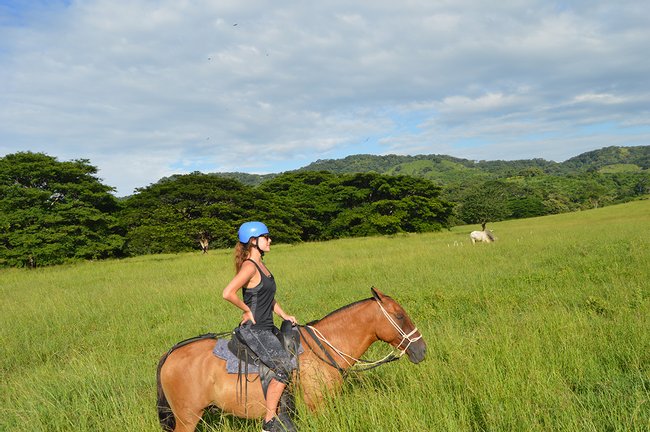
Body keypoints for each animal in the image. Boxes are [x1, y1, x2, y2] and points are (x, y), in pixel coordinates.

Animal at [156, 286, 426, 432]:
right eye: (399, 316)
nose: (421, 349)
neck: (324, 349)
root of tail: (171, 355)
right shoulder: (317, 407)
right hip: (187, 418)